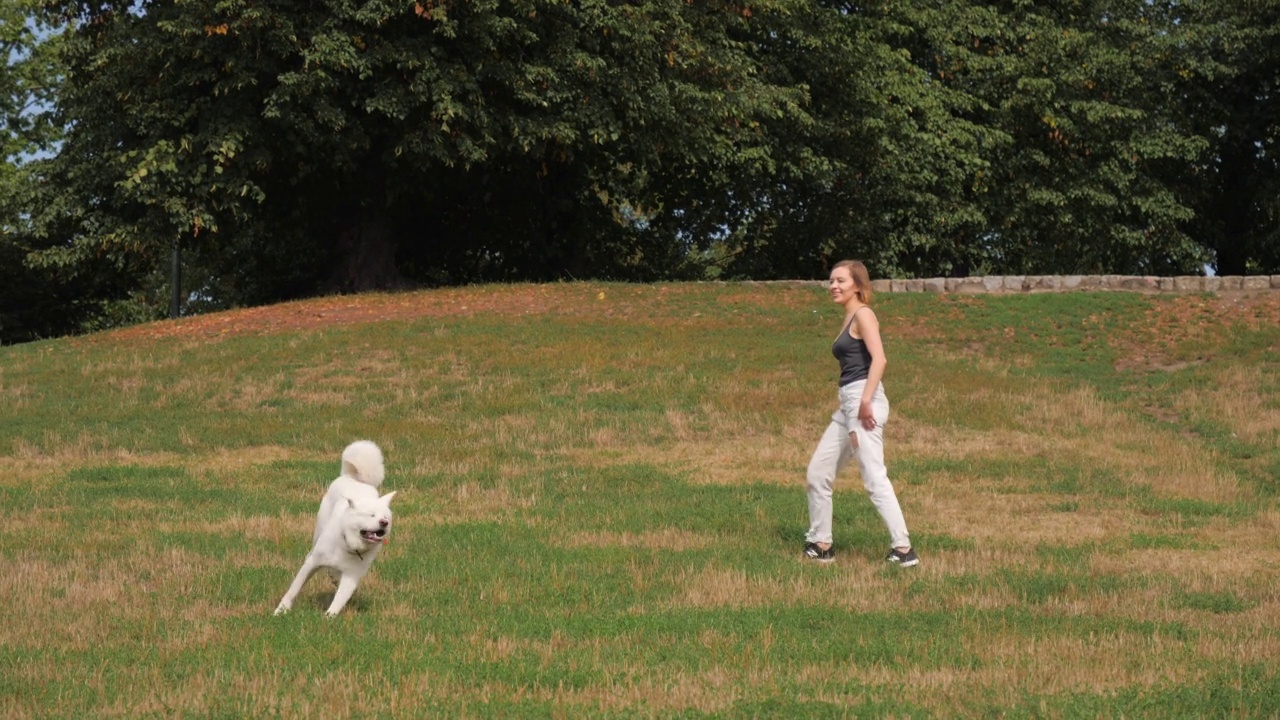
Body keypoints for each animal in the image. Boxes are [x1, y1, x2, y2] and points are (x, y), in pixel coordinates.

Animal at [276, 440, 396, 614]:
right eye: (371, 515)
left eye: (386, 517)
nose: (384, 523)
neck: (347, 545)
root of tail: (353, 477)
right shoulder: (312, 563)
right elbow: (293, 589)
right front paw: (281, 610)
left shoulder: (351, 576)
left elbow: (338, 601)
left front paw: (328, 617)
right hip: (317, 536)